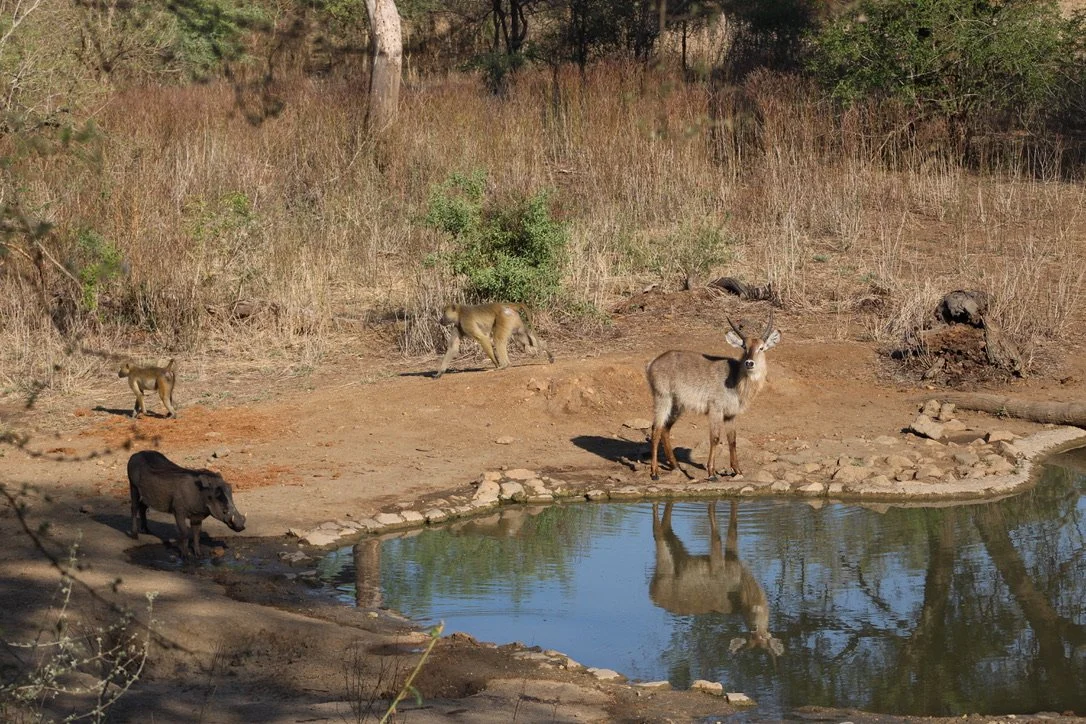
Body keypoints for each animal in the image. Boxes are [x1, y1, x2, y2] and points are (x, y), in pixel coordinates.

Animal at [645, 314, 780, 481]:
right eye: (744, 347)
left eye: (761, 348)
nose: (749, 363)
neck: (735, 379)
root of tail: (652, 362)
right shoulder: (716, 409)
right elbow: (715, 438)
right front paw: (711, 472)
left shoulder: (730, 414)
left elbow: (732, 440)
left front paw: (738, 470)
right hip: (662, 398)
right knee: (656, 429)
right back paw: (654, 472)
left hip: (677, 405)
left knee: (665, 429)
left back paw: (676, 466)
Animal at [650, 501, 784, 658]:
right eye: (751, 629)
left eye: (762, 639)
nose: (755, 627)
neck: (743, 587)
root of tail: (652, 594)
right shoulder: (718, 565)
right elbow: (717, 533)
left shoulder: (733, 559)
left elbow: (733, 527)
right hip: (666, 565)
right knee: (658, 533)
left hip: (678, 551)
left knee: (666, 526)